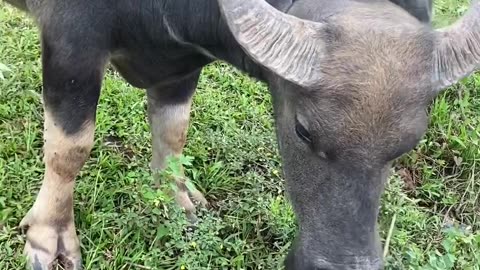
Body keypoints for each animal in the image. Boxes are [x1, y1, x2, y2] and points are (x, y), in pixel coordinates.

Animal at [3, 0, 480, 268]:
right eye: (302, 130)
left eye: (408, 144)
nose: (341, 265)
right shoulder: (72, 48)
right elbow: (70, 148)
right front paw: (48, 237)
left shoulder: (181, 68)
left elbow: (174, 132)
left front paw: (177, 202)